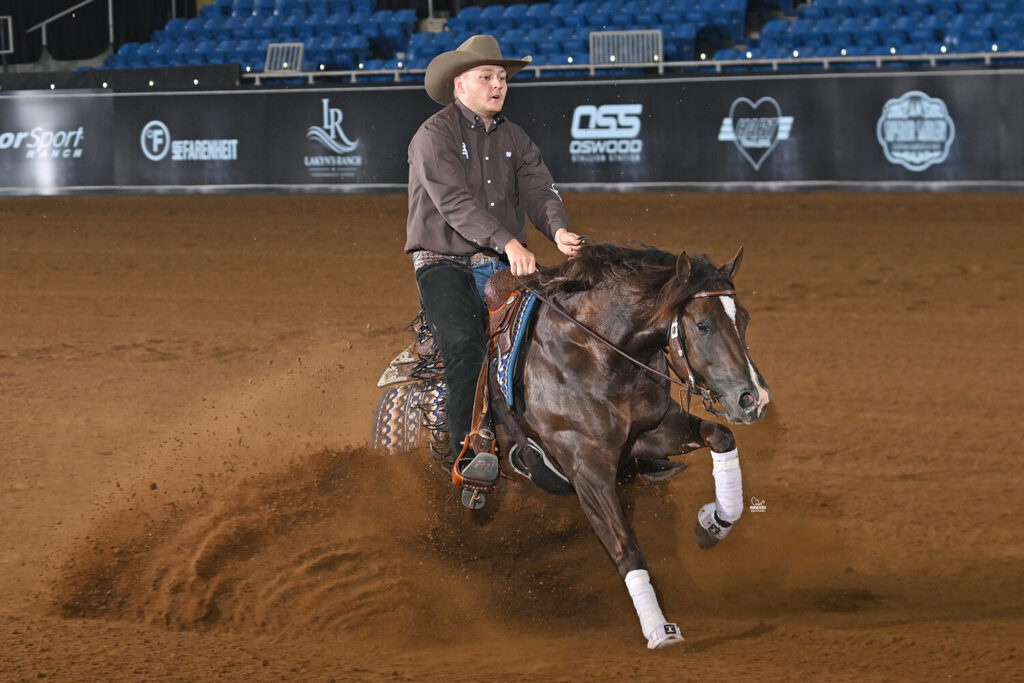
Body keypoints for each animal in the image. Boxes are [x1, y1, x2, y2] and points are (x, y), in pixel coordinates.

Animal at [373, 242, 770, 649]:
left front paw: (714, 523)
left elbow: (721, 437)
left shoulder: (651, 433)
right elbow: (625, 548)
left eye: (744, 319)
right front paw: (661, 629)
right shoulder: (586, 466)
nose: (753, 399)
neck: (597, 353)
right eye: (703, 325)